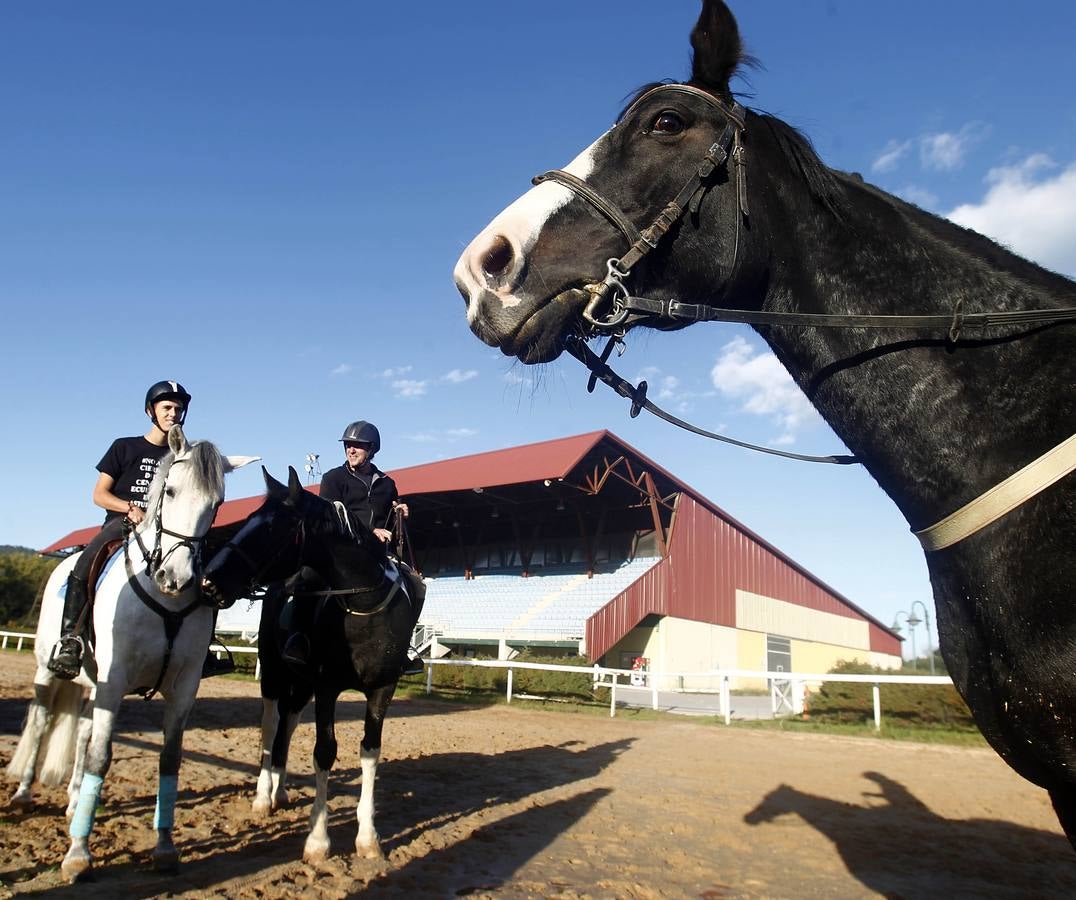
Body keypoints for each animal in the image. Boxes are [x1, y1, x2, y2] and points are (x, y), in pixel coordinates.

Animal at [5, 426, 256, 882]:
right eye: (169, 491)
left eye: (217, 505)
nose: (176, 579)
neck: (165, 602)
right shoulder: (116, 678)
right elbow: (100, 758)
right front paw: (78, 856)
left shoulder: (183, 687)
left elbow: (168, 760)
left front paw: (165, 848)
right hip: (50, 672)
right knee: (43, 721)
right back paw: (24, 793)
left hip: (93, 685)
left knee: (82, 732)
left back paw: (73, 803)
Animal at [200, 467, 421, 861]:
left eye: (272, 528)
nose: (209, 582)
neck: (365, 606)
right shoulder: (327, 687)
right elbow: (324, 752)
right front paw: (318, 841)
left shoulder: (382, 689)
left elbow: (370, 751)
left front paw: (368, 839)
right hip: (274, 675)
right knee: (271, 727)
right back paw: (263, 796)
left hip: (301, 686)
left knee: (287, 727)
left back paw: (280, 790)